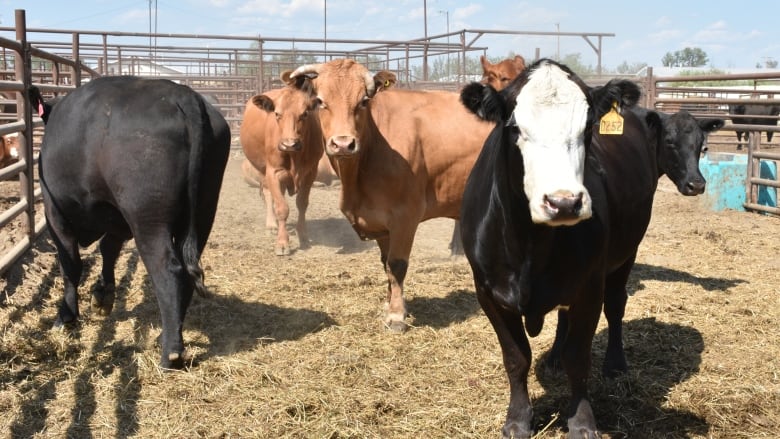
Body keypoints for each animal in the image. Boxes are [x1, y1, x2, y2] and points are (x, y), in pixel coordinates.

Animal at [33, 77, 229, 370]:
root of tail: (182, 95)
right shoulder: (117, 220)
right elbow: (108, 249)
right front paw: (102, 295)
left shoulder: (56, 215)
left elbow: (71, 265)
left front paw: (66, 317)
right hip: (204, 211)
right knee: (187, 272)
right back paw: (165, 337)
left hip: (148, 221)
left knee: (169, 271)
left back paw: (171, 353)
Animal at [238, 78, 322, 256]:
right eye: (277, 114)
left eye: (304, 114)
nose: (289, 144)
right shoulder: (274, 172)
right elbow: (282, 208)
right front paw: (282, 243)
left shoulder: (310, 173)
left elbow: (302, 203)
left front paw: (303, 235)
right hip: (262, 169)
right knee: (269, 194)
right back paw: (271, 224)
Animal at [286, 60, 494, 332]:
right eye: (320, 101)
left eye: (364, 101)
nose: (343, 144)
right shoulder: (380, 221)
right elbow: (385, 263)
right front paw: (392, 305)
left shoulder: (405, 215)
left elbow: (397, 264)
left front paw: (396, 316)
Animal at [460, 59, 660, 439]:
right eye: (514, 128)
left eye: (588, 128)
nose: (564, 202)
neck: (529, 247)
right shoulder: (487, 292)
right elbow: (516, 357)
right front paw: (518, 419)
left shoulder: (590, 288)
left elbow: (578, 358)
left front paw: (581, 421)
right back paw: (552, 358)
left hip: (627, 253)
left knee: (616, 305)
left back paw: (615, 363)